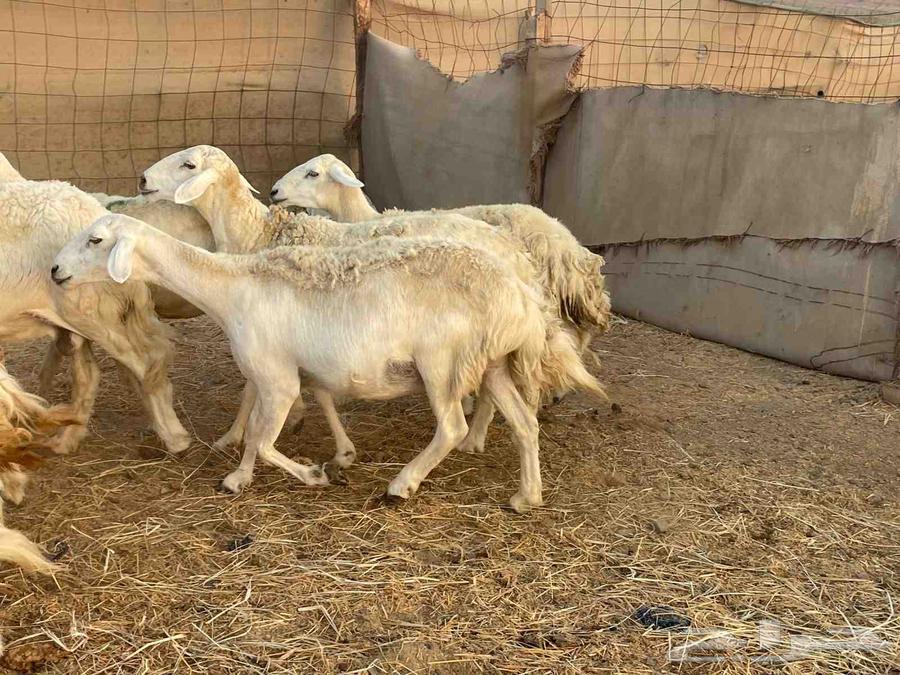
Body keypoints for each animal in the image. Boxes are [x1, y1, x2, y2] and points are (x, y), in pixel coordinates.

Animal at [0, 179, 192, 454]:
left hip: (91, 311)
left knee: (146, 361)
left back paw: (175, 437)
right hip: (80, 320)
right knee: (89, 376)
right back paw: (66, 438)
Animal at [53, 213, 606, 511]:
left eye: (96, 241)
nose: (55, 270)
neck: (230, 289)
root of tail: (521, 296)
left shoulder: (276, 377)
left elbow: (262, 436)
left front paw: (313, 475)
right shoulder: (288, 370)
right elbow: (275, 421)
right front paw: (243, 477)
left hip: (443, 361)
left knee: (451, 426)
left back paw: (402, 484)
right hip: (491, 362)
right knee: (525, 423)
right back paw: (527, 496)